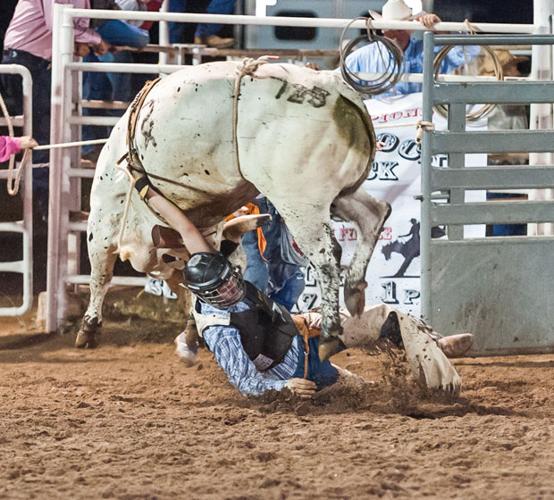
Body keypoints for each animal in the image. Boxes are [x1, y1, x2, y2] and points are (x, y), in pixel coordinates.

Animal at [76, 59, 388, 360]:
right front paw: (192, 328)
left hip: (301, 200)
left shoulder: (102, 225)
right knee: (374, 214)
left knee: (326, 258)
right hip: (339, 192)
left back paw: (329, 333)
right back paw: (354, 290)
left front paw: (88, 327)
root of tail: (336, 88)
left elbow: (101, 274)